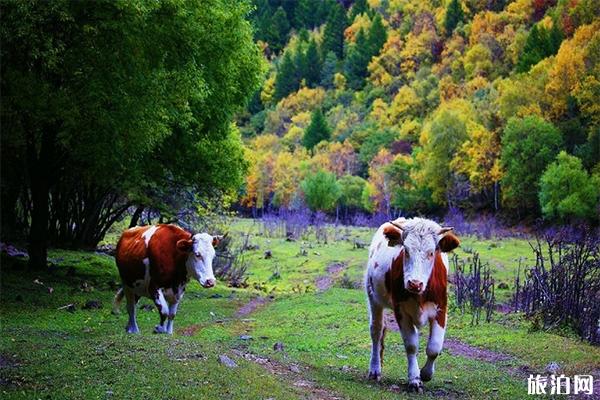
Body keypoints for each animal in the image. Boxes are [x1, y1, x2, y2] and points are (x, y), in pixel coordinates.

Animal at [366, 217, 460, 392]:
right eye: (406, 250)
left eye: (431, 253)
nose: (414, 283)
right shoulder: (401, 311)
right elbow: (411, 345)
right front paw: (415, 379)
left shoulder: (441, 309)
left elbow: (434, 347)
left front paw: (426, 374)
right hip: (373, 298)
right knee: (376, 331)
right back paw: (375, 369)